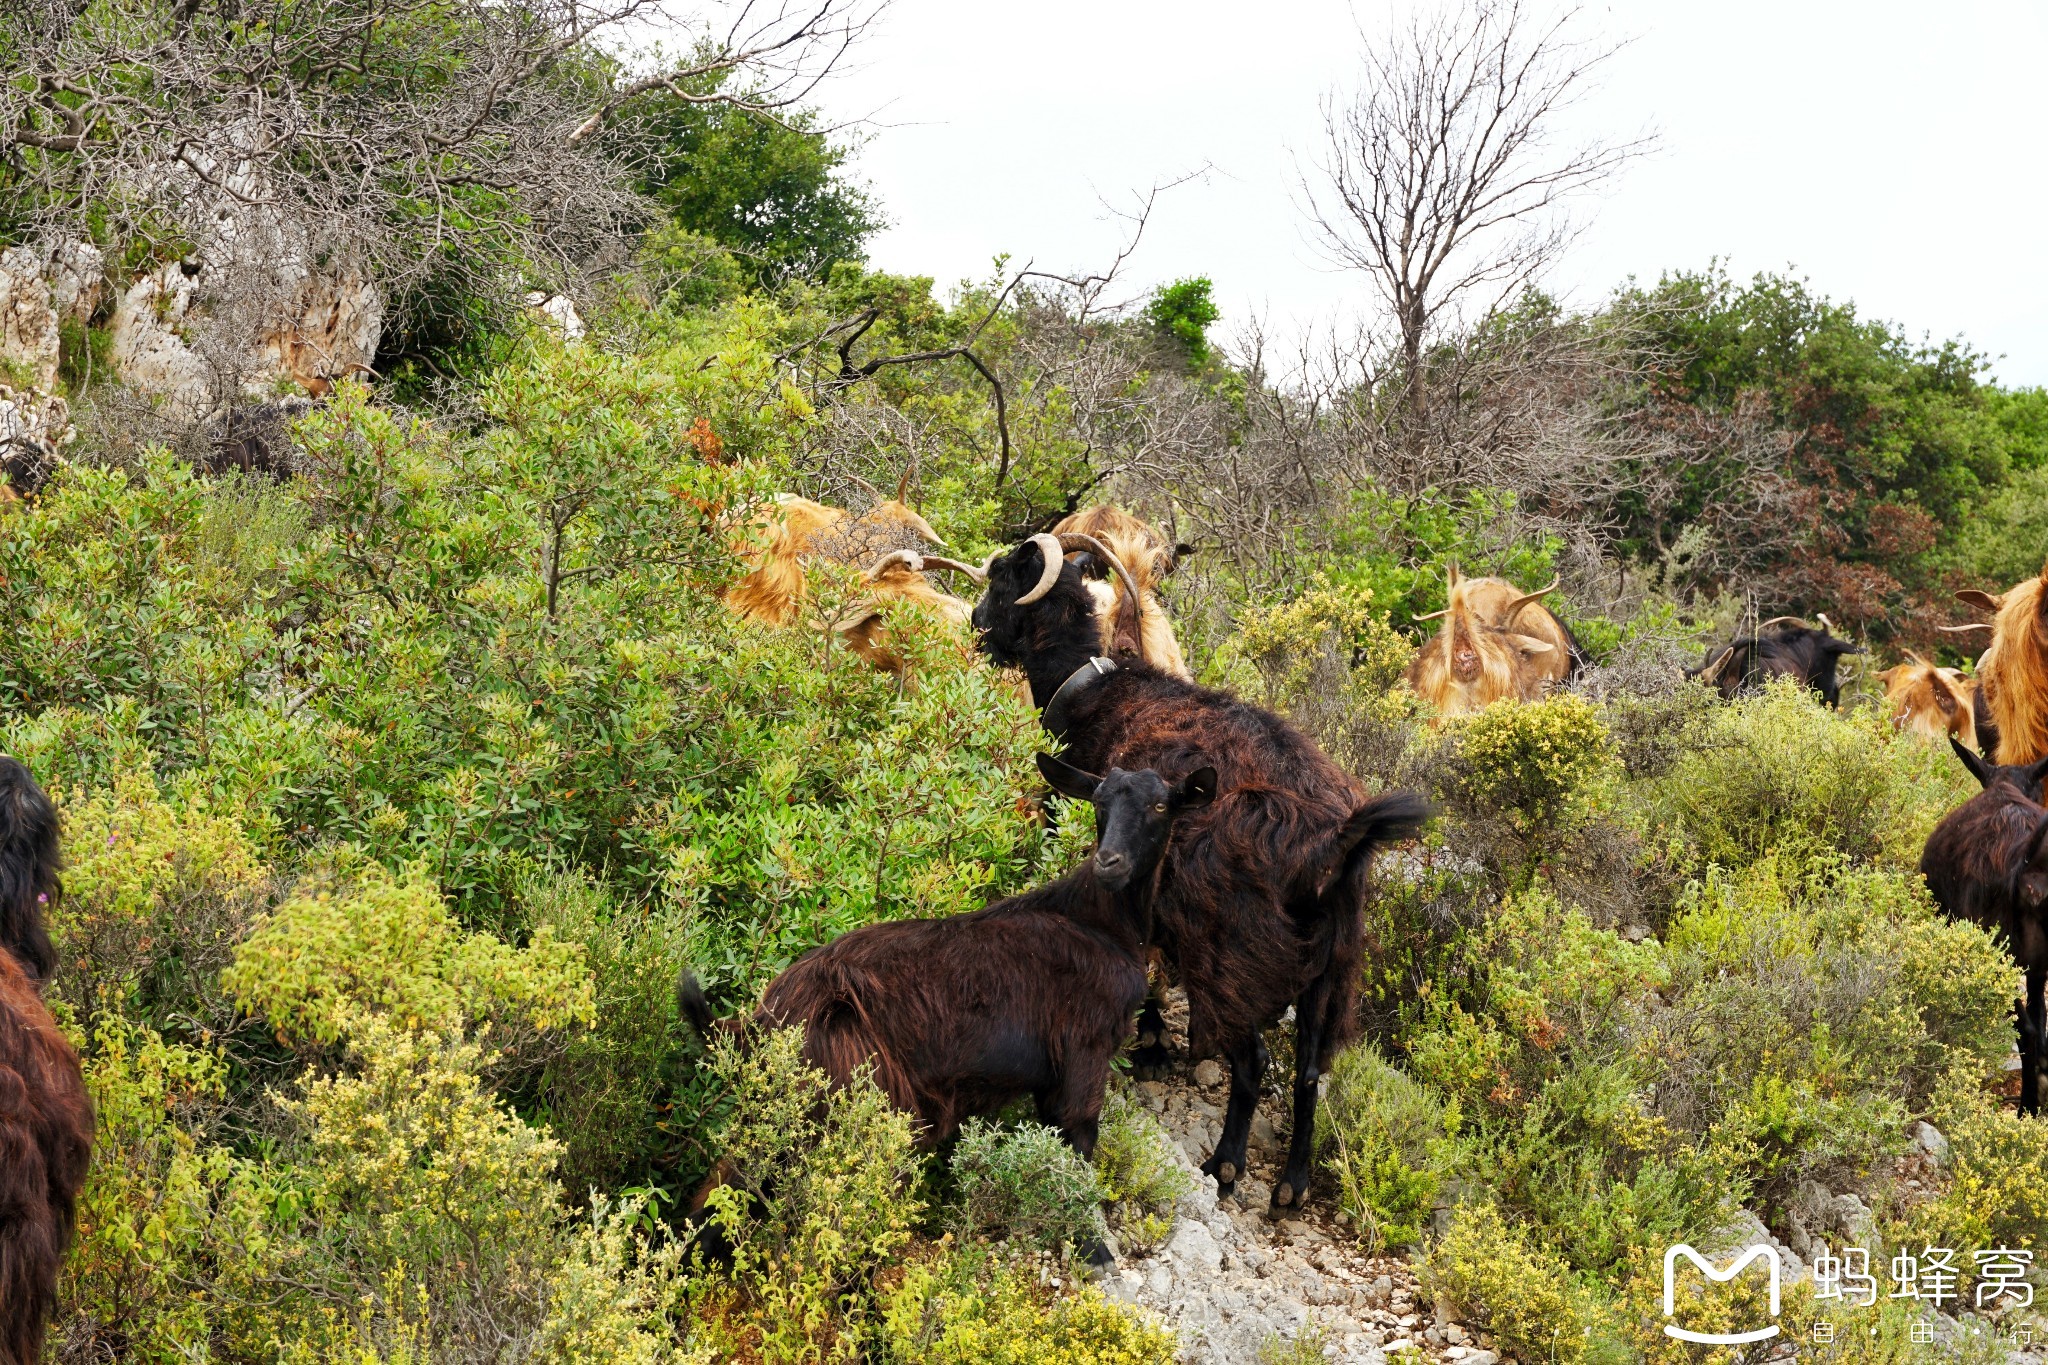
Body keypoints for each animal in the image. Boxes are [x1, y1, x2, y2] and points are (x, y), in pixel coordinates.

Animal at [970, 540, 1425, 1211]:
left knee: (1255, 1060)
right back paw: (1291, 1185)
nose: (975, 623)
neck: (1090, 687)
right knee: (1310, 1071)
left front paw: (1152, 1041)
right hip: (1332, 974)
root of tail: (1330, 843)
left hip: (1230, 958)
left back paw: (1226, 1165)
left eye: (1003, 580)